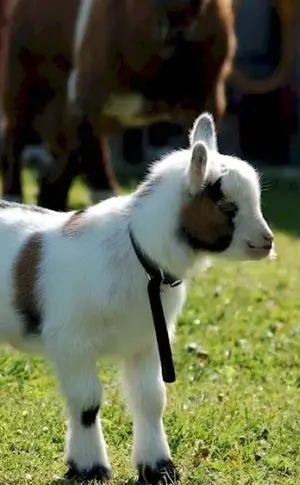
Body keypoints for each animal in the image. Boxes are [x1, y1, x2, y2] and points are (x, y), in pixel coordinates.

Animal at [0, 0, 237, 211]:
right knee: (16, 135)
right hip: (22, 79)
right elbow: (76, 155)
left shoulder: (209, 99)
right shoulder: (82, 98)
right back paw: (15, 194)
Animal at [0, 112, 274, 480]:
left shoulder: (146, 341)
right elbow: (87, 403)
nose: (267, 241)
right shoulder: (72, 342)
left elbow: (150, 400)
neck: (137, 253)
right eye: (226, 204)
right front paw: (89, 468)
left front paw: (158, 468)